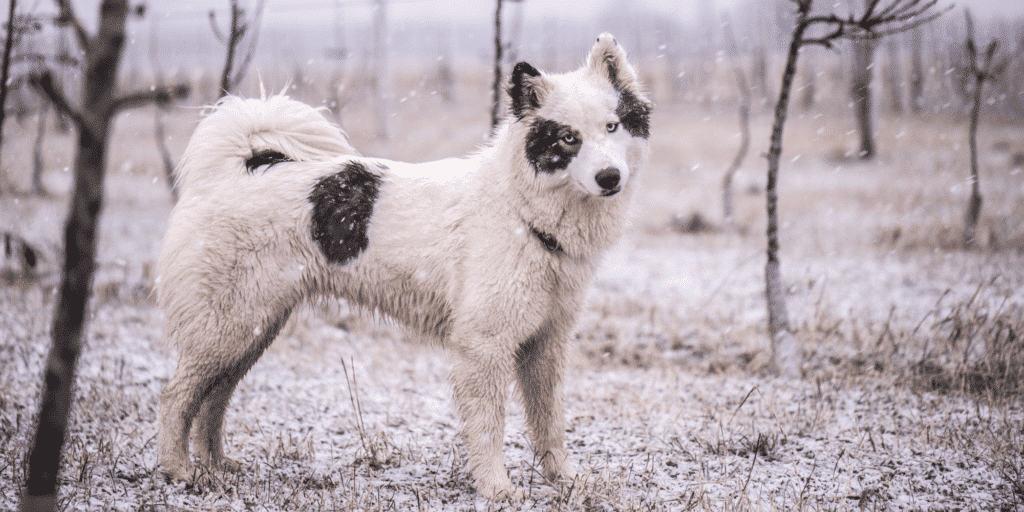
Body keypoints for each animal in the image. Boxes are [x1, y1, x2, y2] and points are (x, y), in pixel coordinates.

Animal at [155, 33, 651, 499]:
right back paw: (180, 472)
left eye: (613, 126)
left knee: (214, 399)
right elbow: (489, 428)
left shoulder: (546, 344)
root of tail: (233, 172)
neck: (520, 208)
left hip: (253, 330)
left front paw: (565, 479)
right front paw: (497, 488)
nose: (610, 178)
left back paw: (218, 465)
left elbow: (550, 422)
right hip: (228, 328)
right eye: (568, 138)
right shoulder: (484, 348)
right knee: (176, 397)